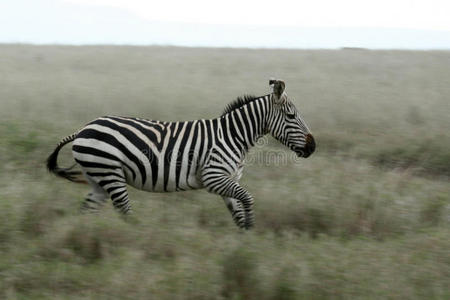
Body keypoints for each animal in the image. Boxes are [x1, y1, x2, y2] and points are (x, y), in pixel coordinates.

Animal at [45, 78, 312, 229]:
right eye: (291, 116)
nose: (312, 147)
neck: (233, 135)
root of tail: (83, 129)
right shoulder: (214, 177)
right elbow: (248, 198)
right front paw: (251, 231)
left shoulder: (227, 180)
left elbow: (237, 210)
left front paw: (245, 241)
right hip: (110, 173)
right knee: (124, 212)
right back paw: (134, 239)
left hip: (97, 178)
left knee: (86, 213)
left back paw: (85, 237)